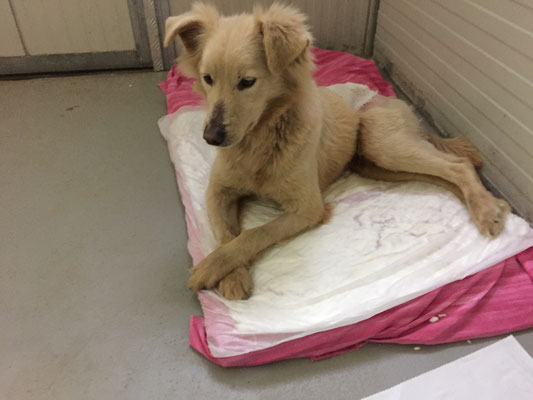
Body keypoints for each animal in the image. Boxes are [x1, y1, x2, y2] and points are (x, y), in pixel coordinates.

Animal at [164, 2, 510, 300]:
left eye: (247, 81)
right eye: (208, 78)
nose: (210, 137)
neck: (260, 140)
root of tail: (390, 99)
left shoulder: (307, 208)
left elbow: (254, 234)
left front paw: (211, 267)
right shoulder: (217, 192)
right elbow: (226, 233)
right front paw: (232, 275)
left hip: (380, 142)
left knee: (459, 164)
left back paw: (486, 209)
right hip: (376, 165)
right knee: (444, 172)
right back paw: (488, 203)